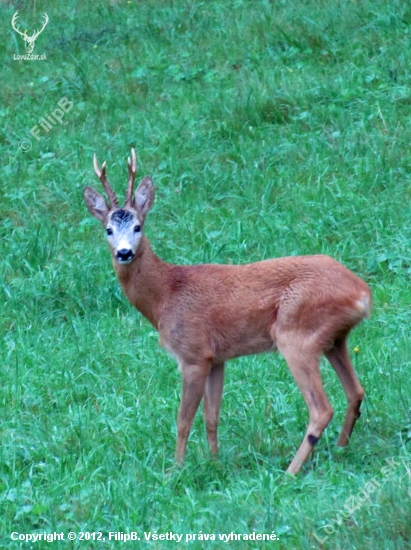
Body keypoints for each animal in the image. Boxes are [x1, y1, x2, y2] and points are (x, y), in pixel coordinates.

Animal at [82, 150, 372, 474]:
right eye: (108, 229)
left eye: (137, 227)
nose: (124, 253)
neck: (166, 295)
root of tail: (362, 293)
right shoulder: (217, 357)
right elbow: (212, 417)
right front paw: (214, 463)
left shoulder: (193, 353)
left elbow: (183, 420)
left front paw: (176, 470)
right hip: (334, 339)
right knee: (356, 391)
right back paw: (340, 448)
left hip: (296, 335)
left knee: (321, 408)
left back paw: (290, 471)